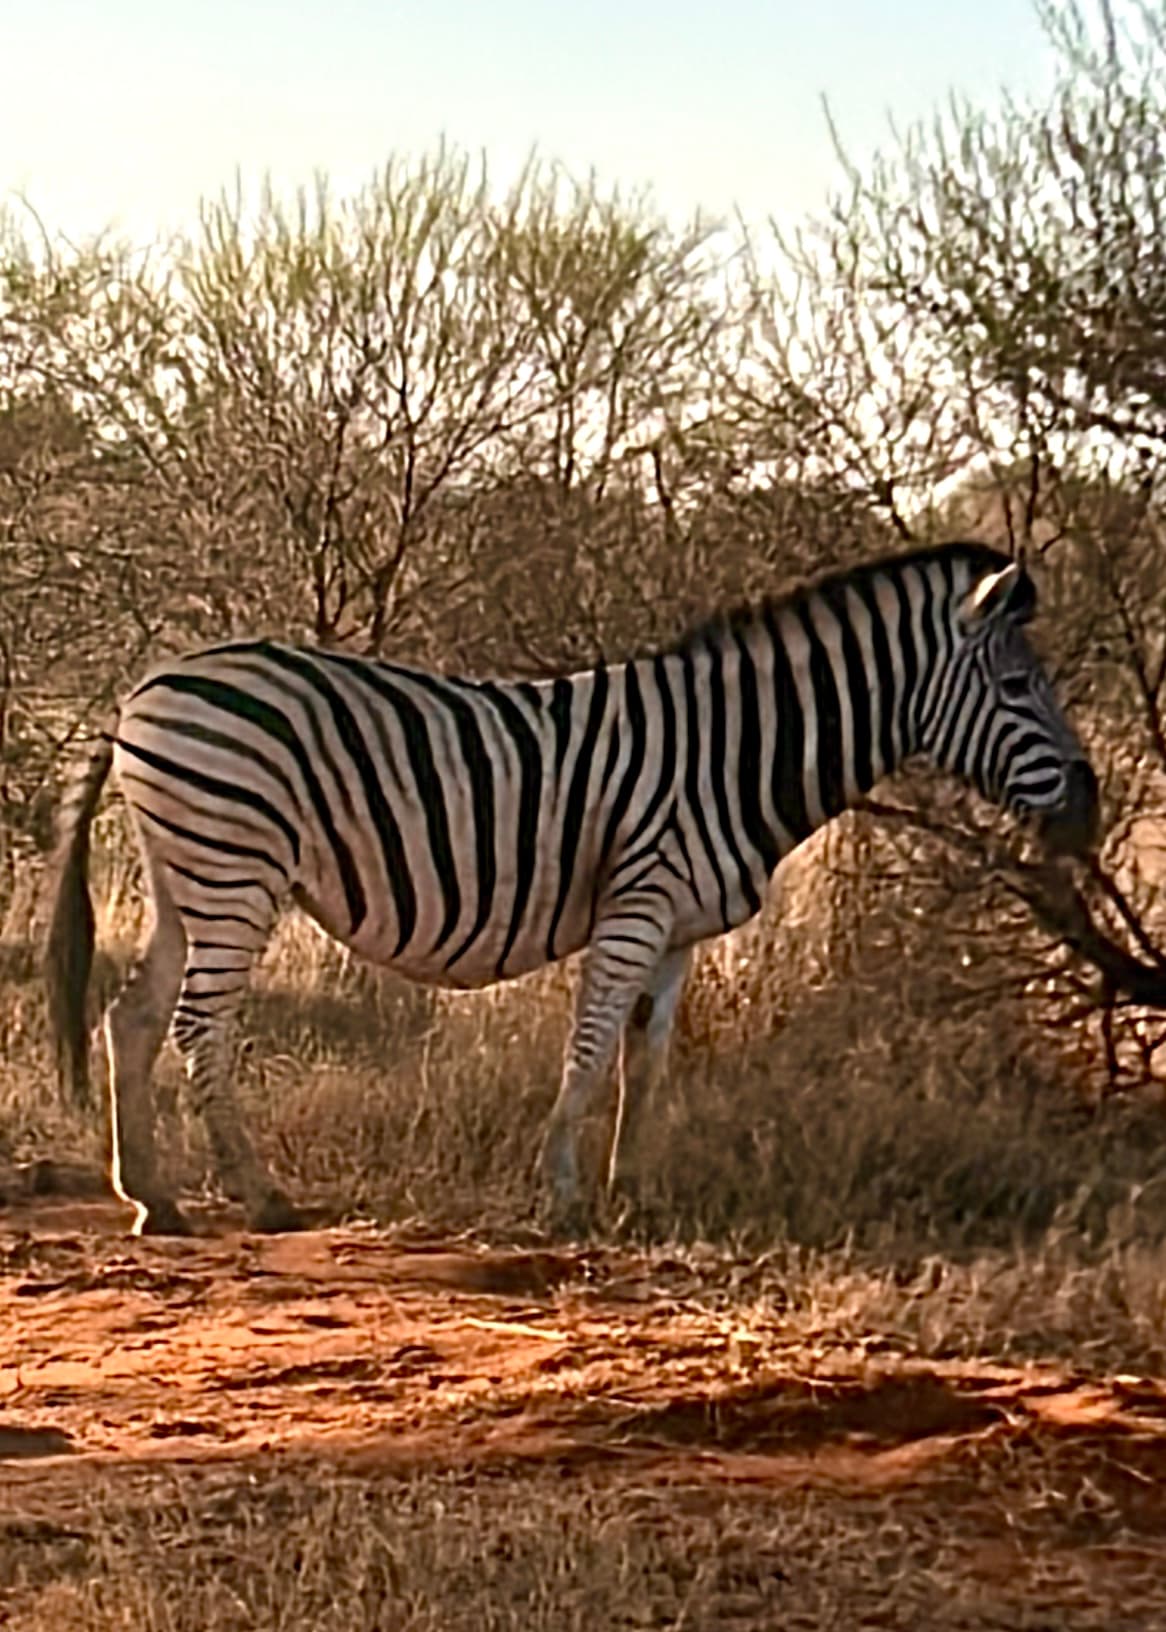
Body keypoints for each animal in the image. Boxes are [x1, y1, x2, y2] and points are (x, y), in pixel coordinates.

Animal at [44, 541, 1099, 1237]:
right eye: (1018, 688)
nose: (1089, 810)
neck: (735, 755)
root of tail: (143, 689)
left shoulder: (680, 934)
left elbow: (647, 1062)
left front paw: (633, 1189)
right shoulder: (637, 903)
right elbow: (589, 1049)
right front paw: (561, 1194)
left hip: (185, 876)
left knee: (132, 1017)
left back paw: (156, 1199)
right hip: (235, 864)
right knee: (195, 1026)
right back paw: (258, 1197)